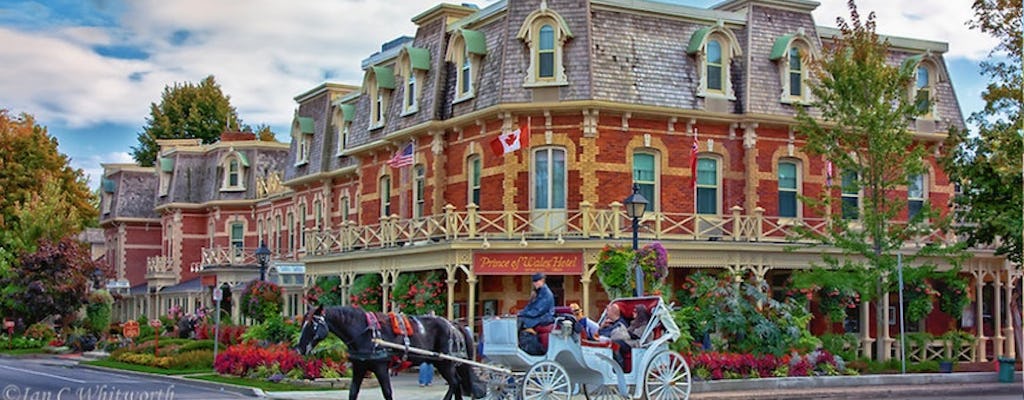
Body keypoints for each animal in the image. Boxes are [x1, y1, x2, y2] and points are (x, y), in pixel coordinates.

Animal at [296, 304, 483, 398]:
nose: (299, 348)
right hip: (444, 363)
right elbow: (353, 392)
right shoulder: (359, 368)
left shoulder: (381, 367)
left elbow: (387, 392)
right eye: (303, 323)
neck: (365, 333)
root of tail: (453, 324)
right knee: (457, 384)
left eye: (313, 325)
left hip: (445, 363)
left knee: (455, 383)